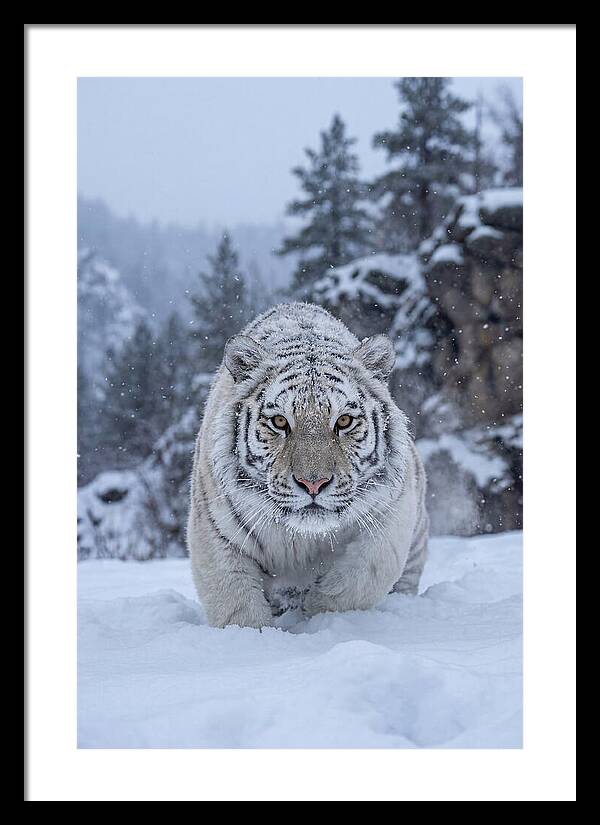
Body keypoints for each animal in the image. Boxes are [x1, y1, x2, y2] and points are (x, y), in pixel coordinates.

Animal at [188, 302, 428, 629]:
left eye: (344, 421)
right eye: (279, 422)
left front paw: (319, 612)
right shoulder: (215, 531)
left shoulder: (391, 514)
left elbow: (360, 578)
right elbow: (236, 604)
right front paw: (254, 635)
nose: (313, 483)